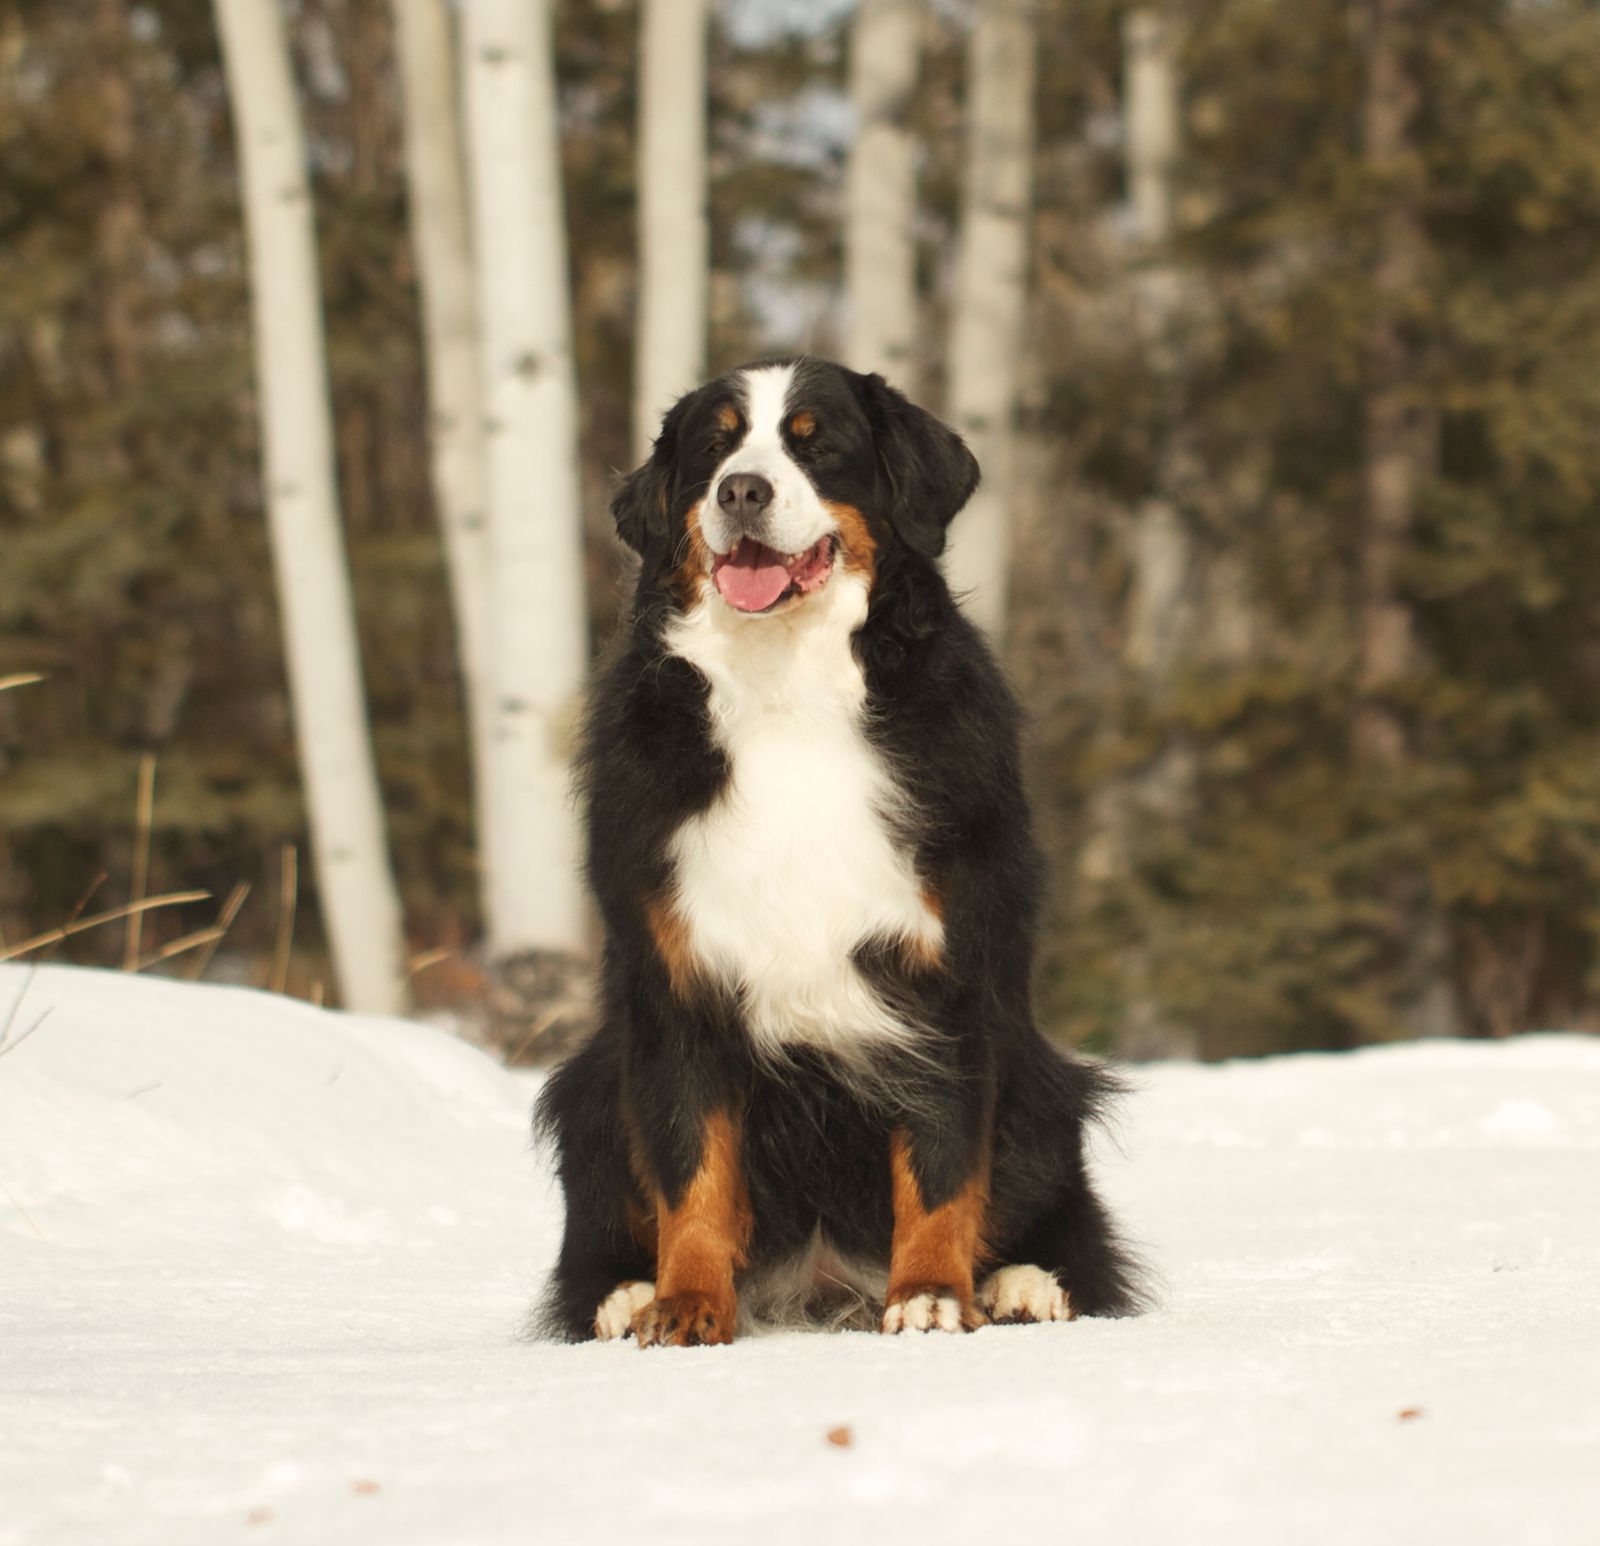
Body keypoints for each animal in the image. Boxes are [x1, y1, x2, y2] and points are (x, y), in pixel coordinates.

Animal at [535, 357, 1143, 1344]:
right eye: (714, 447)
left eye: (816, 446)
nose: (741, 491)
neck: (787, 690)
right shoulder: (675, 980)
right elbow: (691, 1163)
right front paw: (686, 1302)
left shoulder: (946, 975)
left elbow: (941, 1158)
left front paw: (931, 1296)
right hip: (589, 1087)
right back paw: (623, 1295)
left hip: (1045, 1089)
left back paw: (1023, 1285)